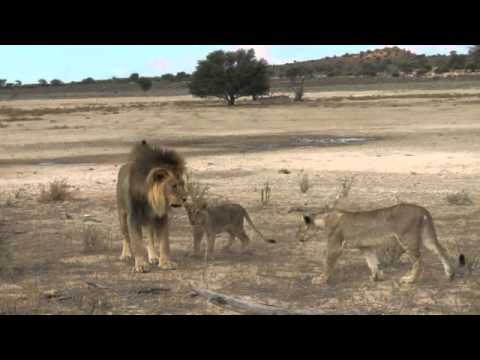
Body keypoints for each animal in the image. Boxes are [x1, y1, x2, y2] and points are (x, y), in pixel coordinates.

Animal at [116, 139, 188, 272]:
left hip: (150, 220)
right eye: (174, 186)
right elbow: (137, 242)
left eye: (182, 184)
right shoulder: (133, 217)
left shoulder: (161, 216)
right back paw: (126, 254)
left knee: (150, 237)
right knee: (126, 236)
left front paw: (166, 263)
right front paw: (141, 265)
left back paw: (153, 256)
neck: (150, 199)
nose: (186, 198)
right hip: (122, 214)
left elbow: (164, 242)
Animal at [298, 202, 460, 284]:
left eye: (300, 229)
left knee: (419, 261)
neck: (323, 220)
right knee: (442, 250)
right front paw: (377, 277)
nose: (298, 238)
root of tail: (422, 209)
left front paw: (320, 279)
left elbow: (327, 263)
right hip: (426, 236)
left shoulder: (335, 247)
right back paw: (450, 274)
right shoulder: (366, 247)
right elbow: (372, 262)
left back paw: (410, 280)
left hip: (407, 238)